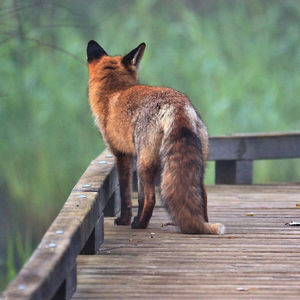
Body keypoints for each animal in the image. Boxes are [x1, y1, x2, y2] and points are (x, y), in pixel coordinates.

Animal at [85, 40, 224, 234]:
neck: (113, 93)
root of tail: (178, 105)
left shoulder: (122, 155)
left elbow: (127, 195)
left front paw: (125, 220)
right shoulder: (133, 156)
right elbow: (138, 197)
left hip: (144, 163)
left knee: (151, 198)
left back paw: (140, 225)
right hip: (196, 164)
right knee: (202, 194)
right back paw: (201, 223)